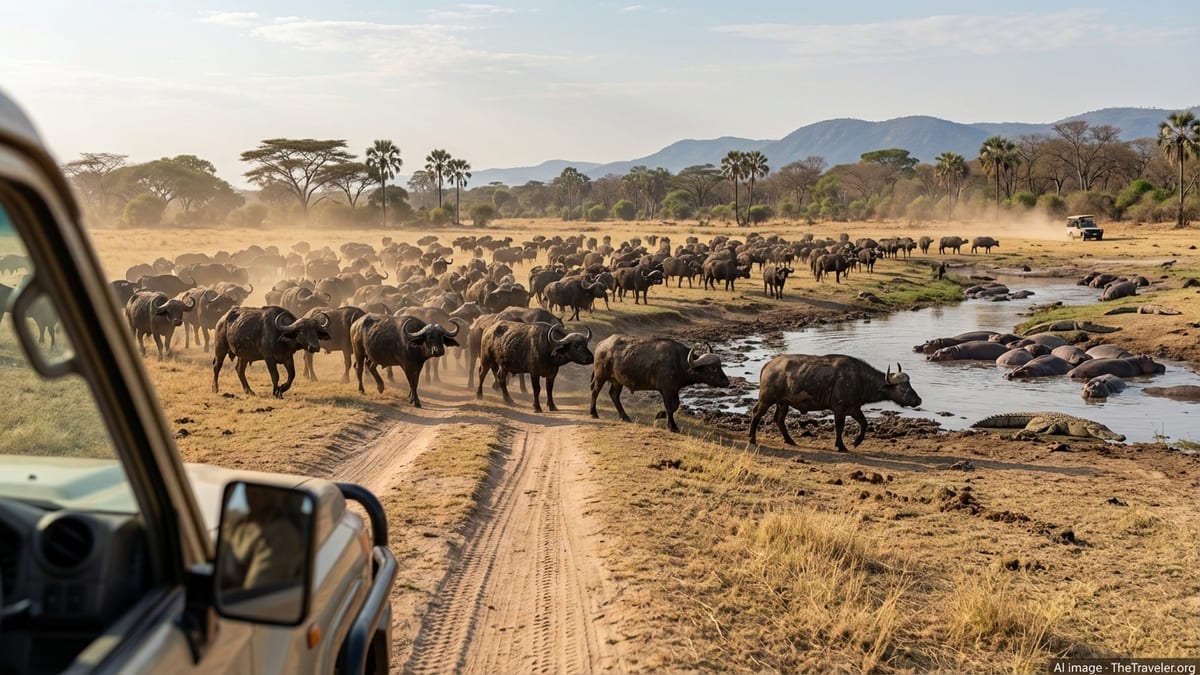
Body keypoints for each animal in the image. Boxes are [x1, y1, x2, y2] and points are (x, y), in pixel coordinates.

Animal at [589, 335, 729, 433]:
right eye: (713, 369)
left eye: (720, 366)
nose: (726, 382)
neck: (679, 363)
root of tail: (602, 344)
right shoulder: (666, 390)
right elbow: (669, 407)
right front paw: (672, 426)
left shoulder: (674, 389)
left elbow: (675, 405)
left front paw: (659, 415)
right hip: (600, 376)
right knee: (595, 392)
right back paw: (593, 413)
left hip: (618, 381)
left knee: (614, 395)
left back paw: (624, 416)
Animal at [748, 354, 922, 452]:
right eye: (903, 388)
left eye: (910, 384)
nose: (918, 400)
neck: (859, 379)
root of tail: (769, 365)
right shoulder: (839, 408)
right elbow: (839, 427)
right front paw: (841, 445)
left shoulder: (853, 408)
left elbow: (864, 423)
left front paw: (857, 442)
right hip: (766, 398)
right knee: (756, 413)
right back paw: (752, 438)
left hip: (783, 402)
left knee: (779, 419)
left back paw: (790, 440)